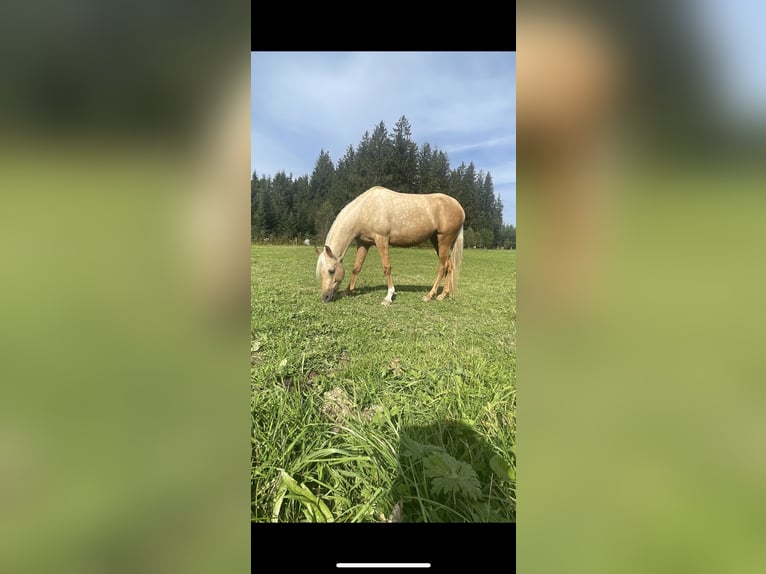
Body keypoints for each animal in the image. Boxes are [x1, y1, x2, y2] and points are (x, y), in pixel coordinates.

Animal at [316, 188, 464, 306]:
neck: (364, 209)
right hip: (437, 241)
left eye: (331, 270)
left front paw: (388, 297)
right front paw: (347, 291)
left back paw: (429, 295)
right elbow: (356, 268)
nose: (325, 297)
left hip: (444, 240)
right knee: (449, 266)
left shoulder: (382, 240)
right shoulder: (364, 243)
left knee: (442, 267)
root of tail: (459, 208)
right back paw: (443, 295)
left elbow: (386, 267)